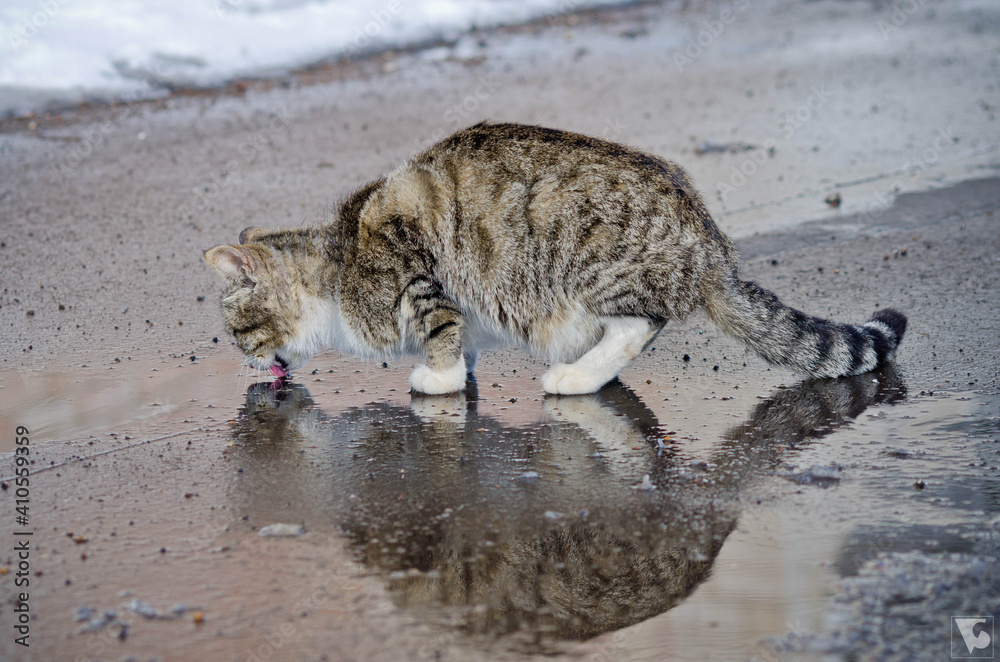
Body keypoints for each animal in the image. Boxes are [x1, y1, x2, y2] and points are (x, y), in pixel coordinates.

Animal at [205, 122, 908, 394]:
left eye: (237, 329)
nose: (245, 362)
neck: (339, 265)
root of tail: (712, 249)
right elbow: (464, 338)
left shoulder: (418, 275)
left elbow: (440, 330)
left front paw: (437, 378)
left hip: (591, 266)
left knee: (641, 323)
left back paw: (576, 376)